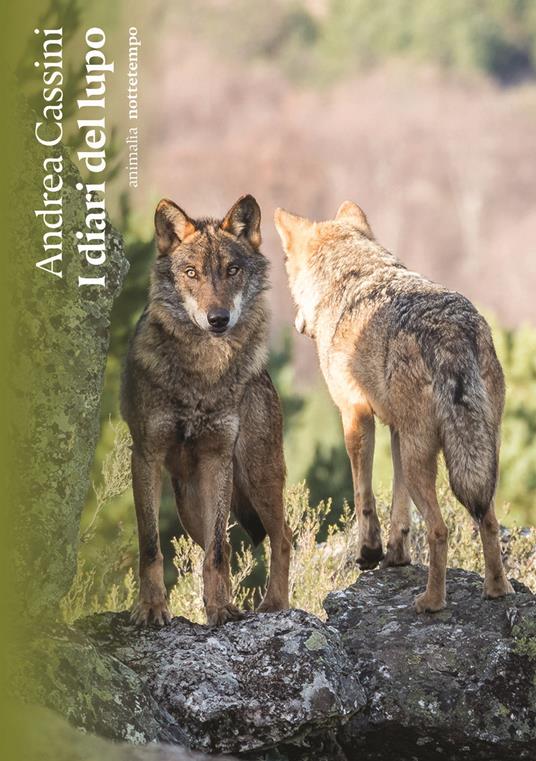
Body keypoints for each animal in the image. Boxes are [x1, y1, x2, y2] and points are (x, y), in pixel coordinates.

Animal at [121, 195, 291, 626]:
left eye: (232, 270)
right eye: (191, 273)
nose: (218, 319)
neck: (203, 375)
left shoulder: (218, 457)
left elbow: (215, 552)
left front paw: (221, 611)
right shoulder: (145, 455)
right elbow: (151, 545)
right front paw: (152, 608)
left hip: (256, 477)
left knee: (281, 538)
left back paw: (275, 606)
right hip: (189, 505)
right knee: (229, 546)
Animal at [274, 200, 513, 612]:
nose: (296, 323)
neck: (350, 274)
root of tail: (452, 335)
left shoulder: (355, 416)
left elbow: (363, 495)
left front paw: (369, 552)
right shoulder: (396, 430)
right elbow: (398, 510)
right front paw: (395, 555)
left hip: (429, 461)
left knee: (439, 529)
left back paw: (432, 602)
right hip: (481, 458)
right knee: (488, 521)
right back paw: (498, 590)